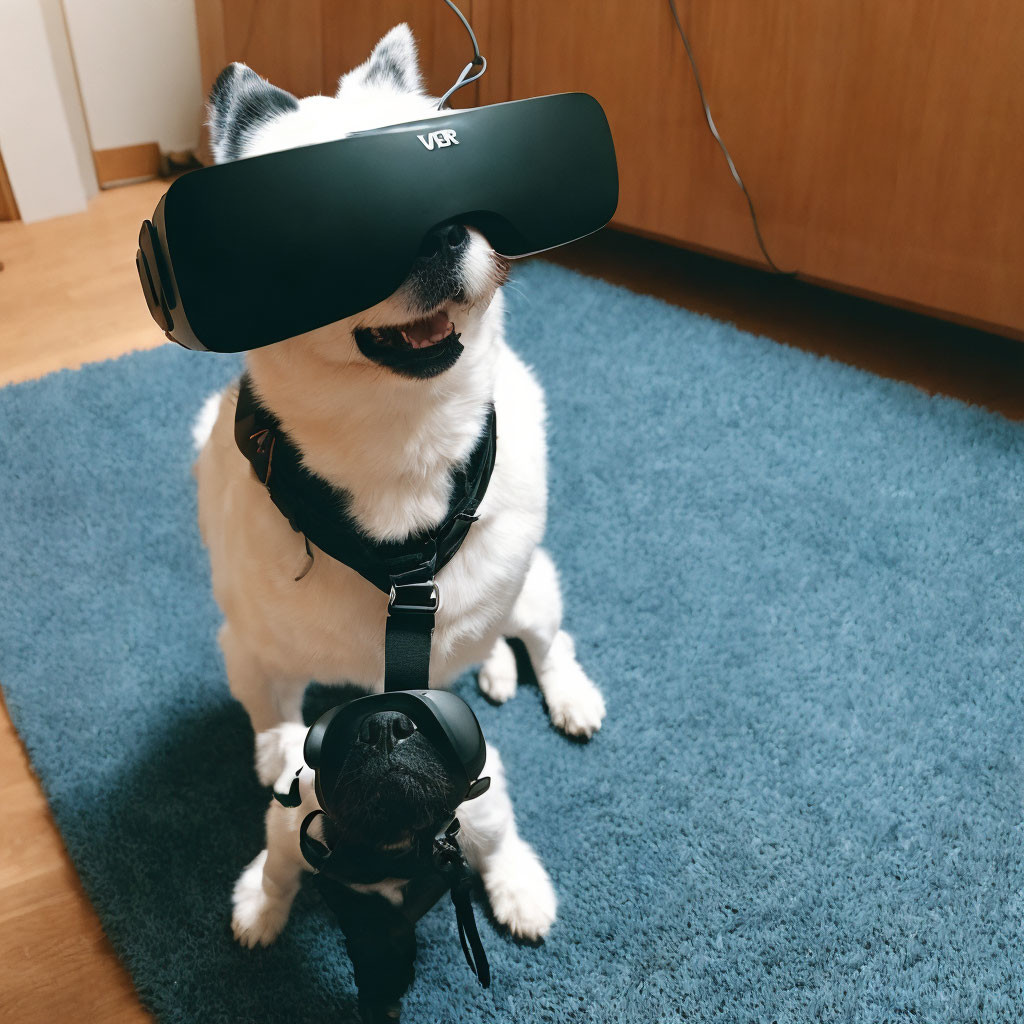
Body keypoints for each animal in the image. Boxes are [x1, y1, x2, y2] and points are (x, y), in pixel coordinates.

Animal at [193, 28, 598, 962]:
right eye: (321, 221)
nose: (445, 230)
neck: (395, 443)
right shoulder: (250, 648)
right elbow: (273, 724)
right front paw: (271, 825)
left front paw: (515, 881)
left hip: (536, 588)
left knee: (547, 640)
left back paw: (565, 693)